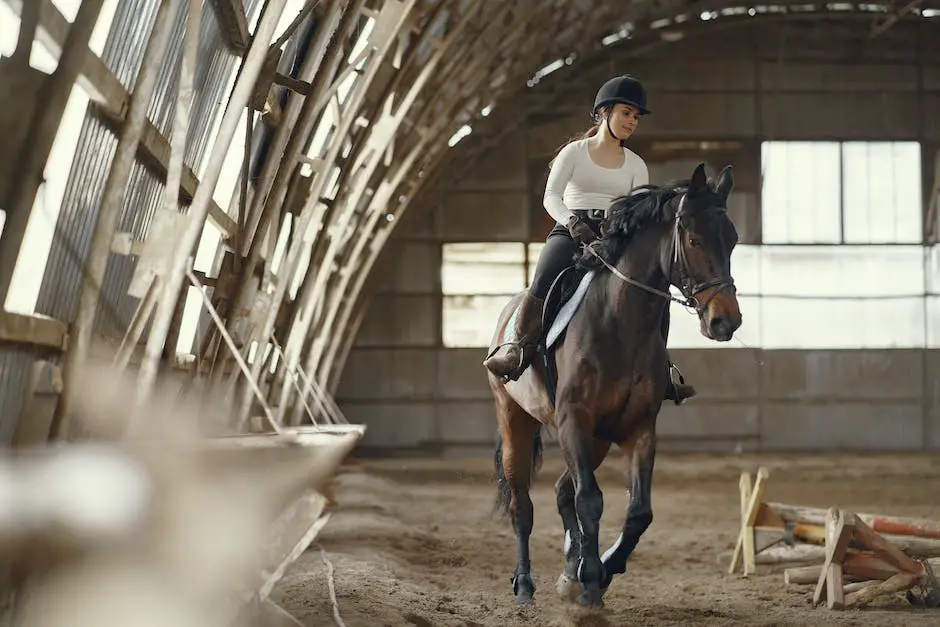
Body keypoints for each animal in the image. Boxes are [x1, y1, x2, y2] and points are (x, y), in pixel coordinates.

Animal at [484, 162, 740, 608]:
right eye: (693, 239)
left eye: (734, 240)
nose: (726, 321)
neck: (620, 323)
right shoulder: (573, 419)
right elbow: (590, 500)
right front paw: (590, 586)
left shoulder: (638, 427)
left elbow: (638, 512)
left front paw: (601, 571)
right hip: (516, 420)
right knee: (523, 505)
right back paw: (525, 586)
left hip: (599, 438)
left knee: (562, 490)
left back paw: (570, 569)